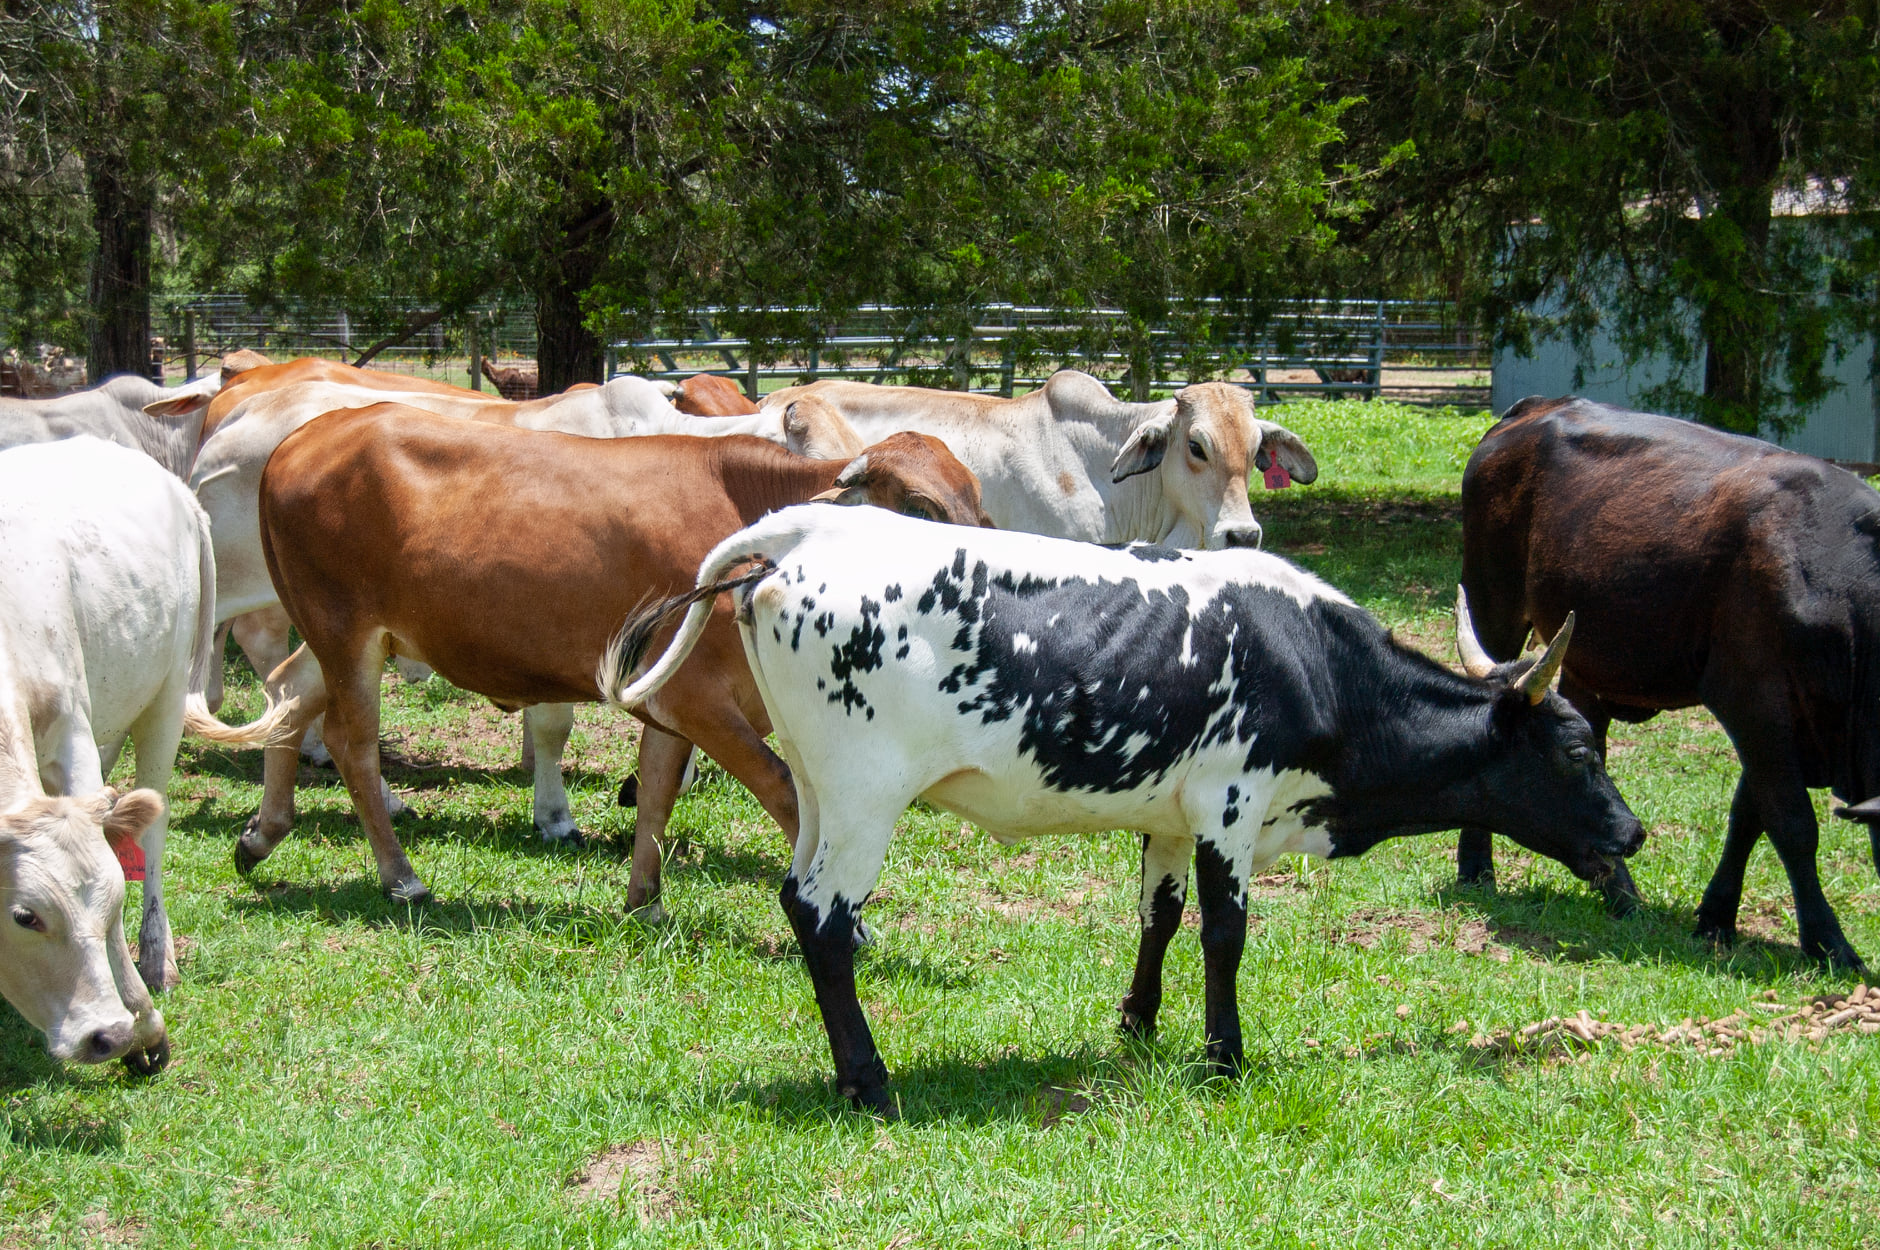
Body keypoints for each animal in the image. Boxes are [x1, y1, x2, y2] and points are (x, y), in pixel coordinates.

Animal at [195, 404, 994, 909]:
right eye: (919, 507)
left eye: (973, 497)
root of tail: (304, 438)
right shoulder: (702, 699)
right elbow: (786, 795)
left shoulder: (674, 701)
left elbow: (657, 790)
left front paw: (644, 900)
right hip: (345, 630)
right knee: (351, 742)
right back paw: (400, 877)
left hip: (342, 634)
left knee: (287, 693)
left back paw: (261, 835)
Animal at [599, 505, 1647, 1112]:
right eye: (1576, 749)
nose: (1633, 832)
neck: (1312, 663)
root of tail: (802, 532)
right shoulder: (1231, 800)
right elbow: (1225, 931)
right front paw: (1225, 1060)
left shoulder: (1173, 815)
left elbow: (1161, 914)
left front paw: (1138, 1024)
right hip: (865, 798)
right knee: (823, 916)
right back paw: (869, 1080)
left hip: (820, 790)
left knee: (798, 895)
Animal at [1458, 396, 1880, 970]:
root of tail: (1535, 407)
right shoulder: (1752, 698)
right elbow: (1791, 823)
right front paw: (1830, 943)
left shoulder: (1783, 726)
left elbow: (1747, 814)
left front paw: (1717, 917)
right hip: (1492, 608)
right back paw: (1477, 870)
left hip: (1587, 663)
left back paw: (1621, 893)